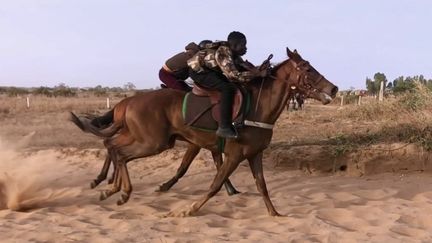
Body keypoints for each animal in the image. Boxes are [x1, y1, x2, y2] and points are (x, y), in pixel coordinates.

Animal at [70, 48, 338, 216]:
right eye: (307, 68)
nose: (334, 89)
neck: (257, 108)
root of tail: (127, 103)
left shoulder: (254, 153)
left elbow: (261, 185)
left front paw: (274, 213)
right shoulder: (232, 153)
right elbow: (214, 183)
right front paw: (189, 209)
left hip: (145, 137)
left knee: (113, 147)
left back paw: (109, 187)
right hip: (153, 142)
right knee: (120, 152)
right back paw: (119, 191)